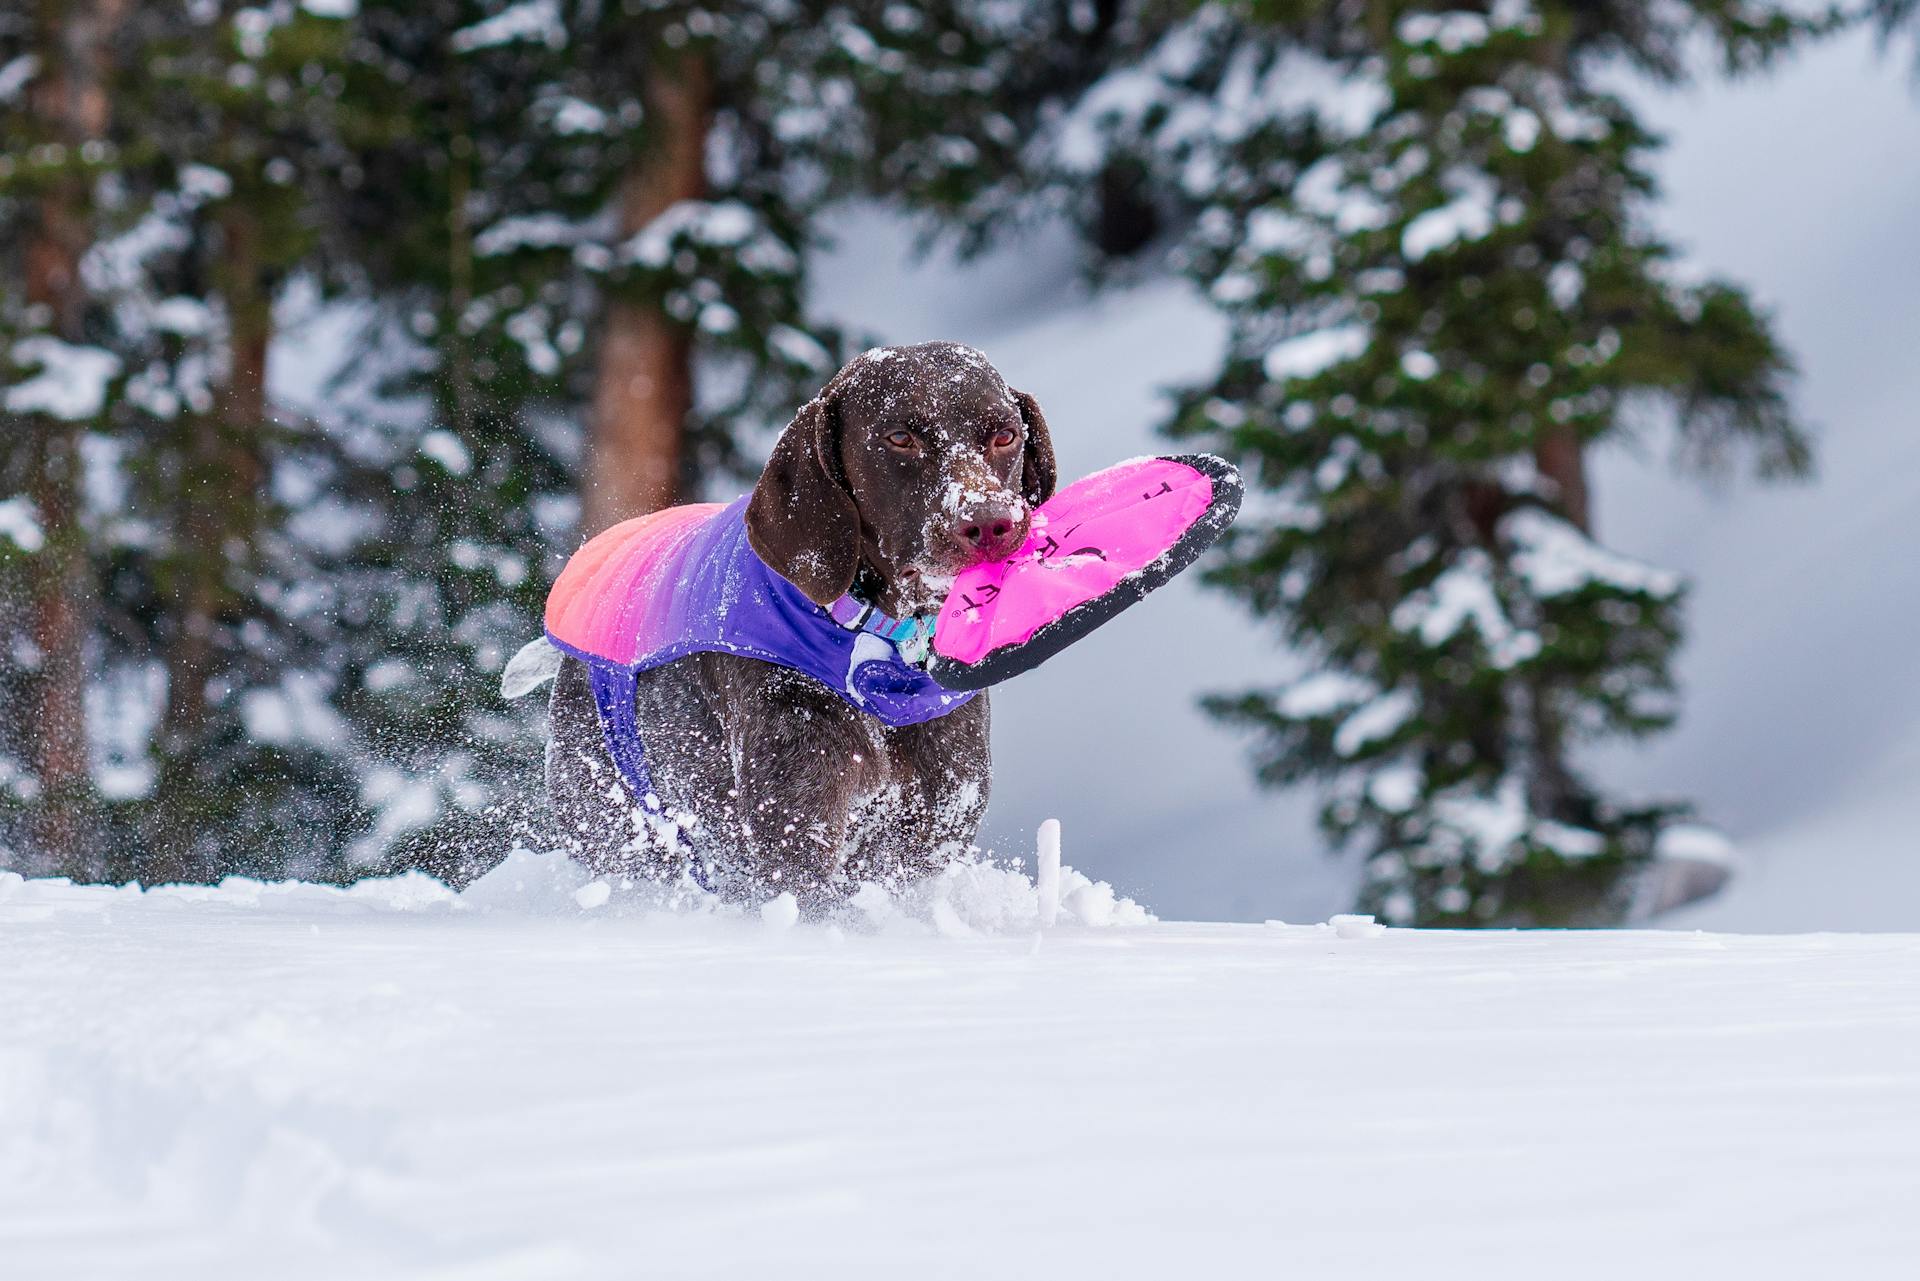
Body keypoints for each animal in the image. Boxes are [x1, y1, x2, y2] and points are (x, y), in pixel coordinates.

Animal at [533, 339, 1059, 902]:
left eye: (1005, 436)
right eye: (900, 438)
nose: (988, 522)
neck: (878, 646)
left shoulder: (940, 811)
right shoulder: (794, 823)